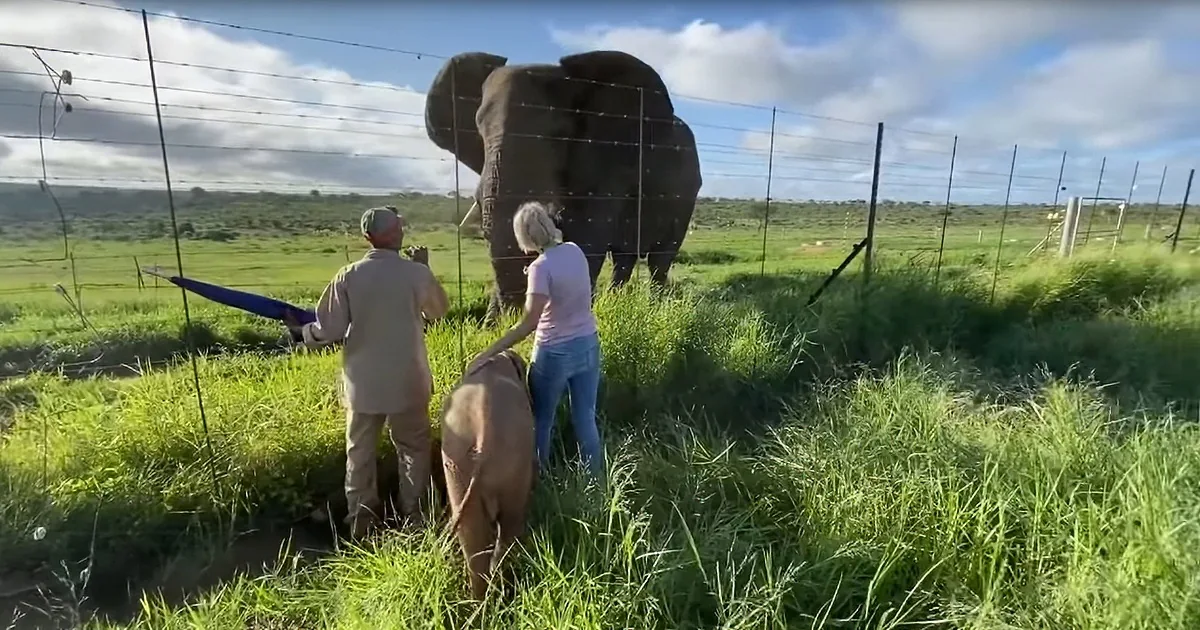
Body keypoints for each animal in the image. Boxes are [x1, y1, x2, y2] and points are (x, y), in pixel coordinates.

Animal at [425, 50, 703, 320]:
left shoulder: (608, 162)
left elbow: (587, 237)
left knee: (660, 258)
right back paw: (617, 300)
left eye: (558, 133)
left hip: (684, 197)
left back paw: (654, 305)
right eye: (479, 132)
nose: (508, 319)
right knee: (624, 258)